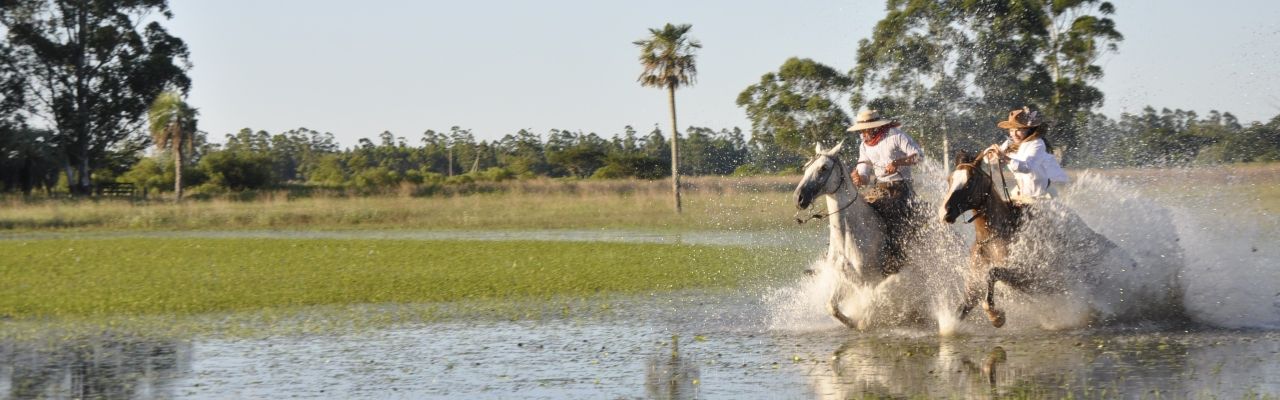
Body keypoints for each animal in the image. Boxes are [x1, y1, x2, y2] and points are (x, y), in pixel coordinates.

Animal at [793, 141, 912, 329]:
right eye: (806, 167)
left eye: (823, 168)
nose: (799, 198)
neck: (848, 239)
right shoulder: (843, 279)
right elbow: (831, 307)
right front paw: (851, 322)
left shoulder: (871, 282)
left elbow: (869, 310)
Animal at [939, 151, 1141, 328]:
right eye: (950, 180)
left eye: (970, 180)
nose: (945, 212)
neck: (994, 238)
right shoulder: (973, 285)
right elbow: (961, 309)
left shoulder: (1029, 278)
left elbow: (993, 274)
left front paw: (996, 317)